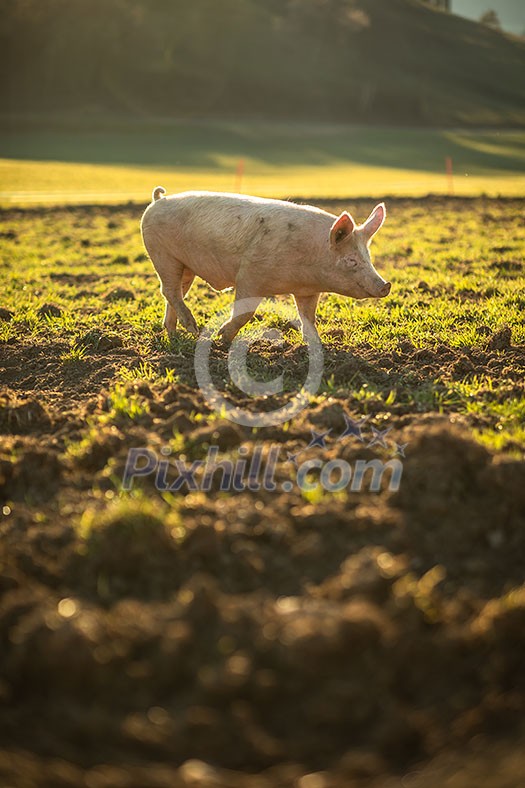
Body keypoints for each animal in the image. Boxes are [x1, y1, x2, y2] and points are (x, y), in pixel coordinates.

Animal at [140, 188, 388, 344]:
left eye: (368, 257)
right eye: (351, 260)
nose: (386, 286)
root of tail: (158, 200)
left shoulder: (308, 291)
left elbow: (308, 317)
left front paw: (317, 345)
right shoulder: (250, 274)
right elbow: (245, 313)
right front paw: (222, 337)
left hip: (185, 265)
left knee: (175, 293)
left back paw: (174, 334)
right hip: (162, 254)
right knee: (168, 290)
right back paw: (193, 329)